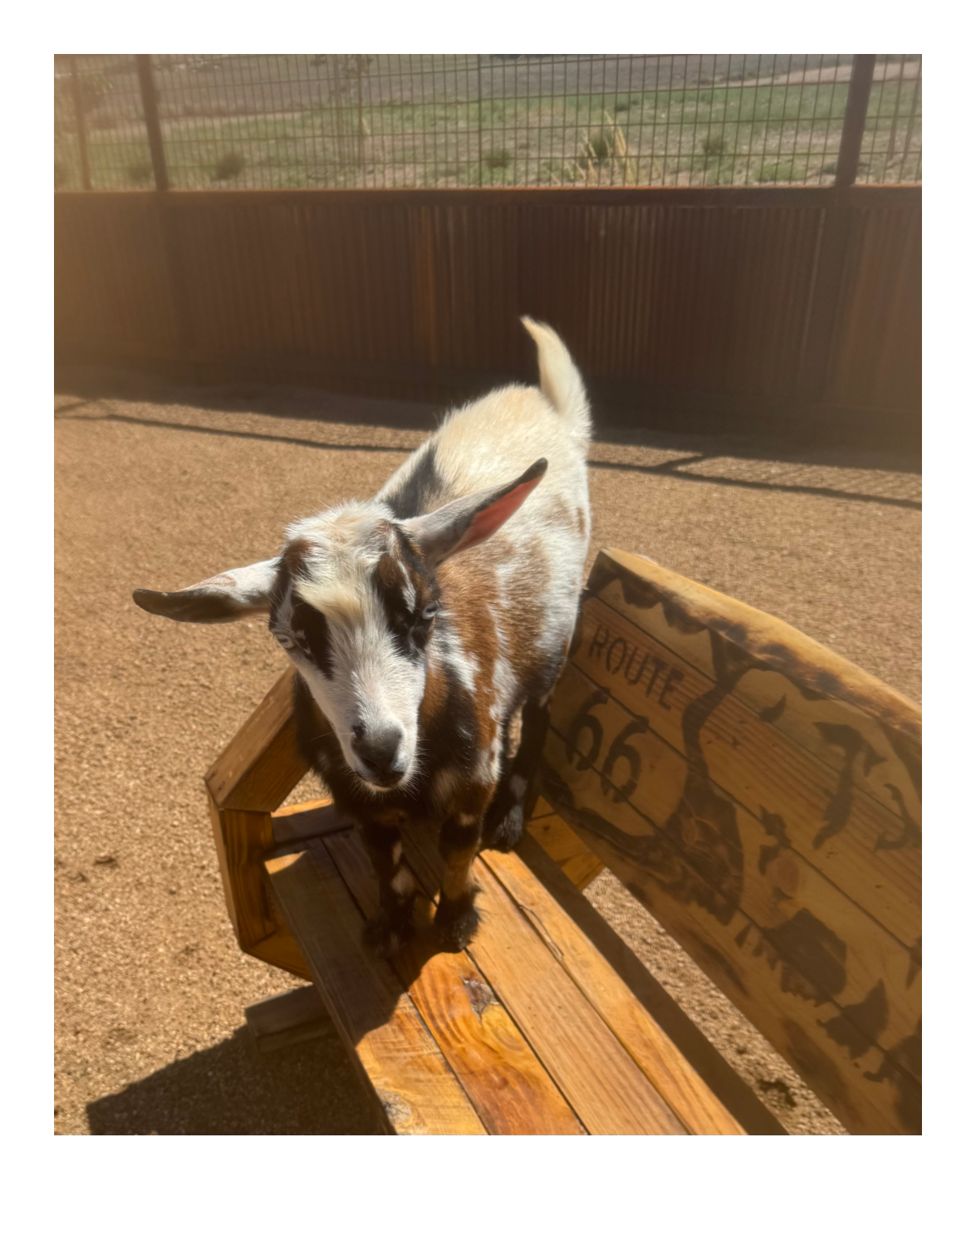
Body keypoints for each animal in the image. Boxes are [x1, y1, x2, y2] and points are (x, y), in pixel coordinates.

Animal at [133, 318, 592, 951]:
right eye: (290, 637)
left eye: (425, 615)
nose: (380, 748)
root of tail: (543, 405)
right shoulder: (357, 797)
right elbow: (383, 860)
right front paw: (389, 929)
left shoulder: (472, 780)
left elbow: (458, 851)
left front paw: (455, 921)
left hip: (556, 642)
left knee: (542, 713)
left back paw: (512, 817)